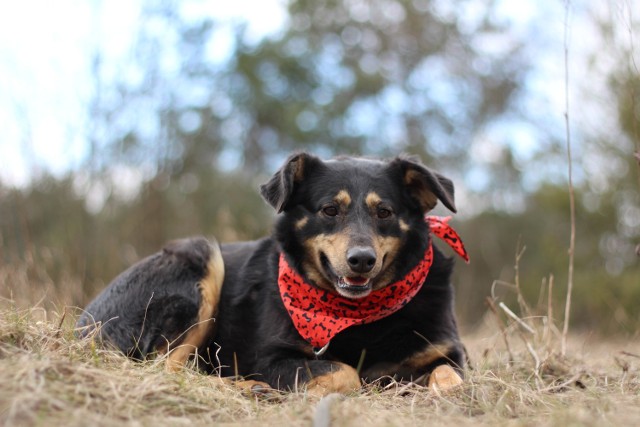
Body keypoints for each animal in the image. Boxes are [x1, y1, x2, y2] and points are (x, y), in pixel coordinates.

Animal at [76, 153, 470, 394]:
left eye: (384, 212)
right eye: (329, 210)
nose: (362, 260)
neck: (360, 314)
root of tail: (83, 324)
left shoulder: (449, 352)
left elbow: (453, 377)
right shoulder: (271, 360)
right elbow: (345, 372)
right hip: (202, 258)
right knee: (166, 369)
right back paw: (249, 388)